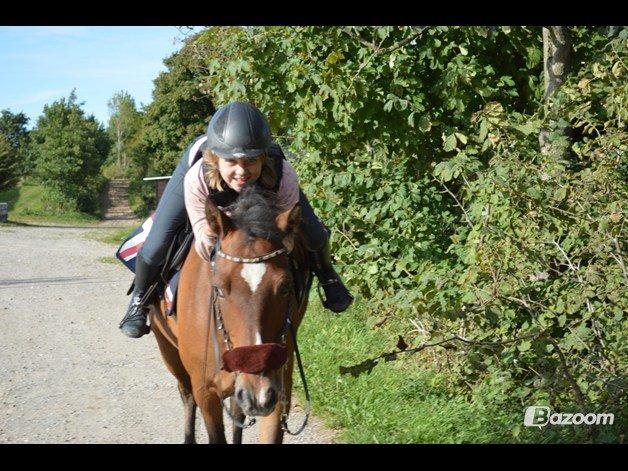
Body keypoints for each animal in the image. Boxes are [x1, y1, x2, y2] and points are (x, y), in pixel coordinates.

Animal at [146, 186, 310, 444]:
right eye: (219, 289)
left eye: (285, 287)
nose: (258, 395)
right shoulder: (205, 391)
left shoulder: (278, 389)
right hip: (168, 350)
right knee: (186, 395)